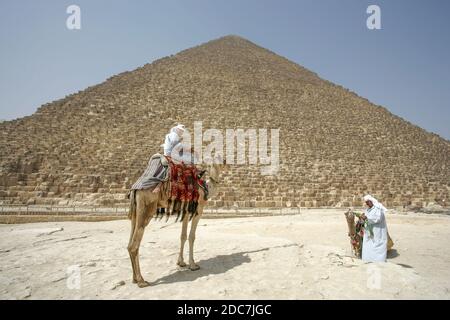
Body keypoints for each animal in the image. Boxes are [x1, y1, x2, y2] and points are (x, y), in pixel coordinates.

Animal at [126, 157, 225, 288]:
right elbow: (192, 237)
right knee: (134, 245)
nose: (225, 162)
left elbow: (183, 236)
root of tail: (135, 189)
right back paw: (141, 281)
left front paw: (181, 262)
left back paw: (134, 279)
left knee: (129, 243)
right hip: (146, 209)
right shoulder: (198, 211)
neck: (206, 186)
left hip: (135, 212)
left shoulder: (186, 212)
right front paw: (193, 265)